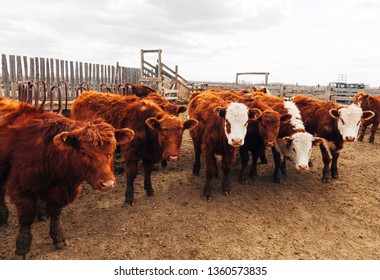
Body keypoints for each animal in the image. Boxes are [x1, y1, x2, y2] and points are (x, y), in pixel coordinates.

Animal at [0, 98, 134, 258]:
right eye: (83, 152)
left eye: (113, 150)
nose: (107, 184)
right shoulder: (21, 189)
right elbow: (26, 219)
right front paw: (22, 248)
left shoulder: (59, 192)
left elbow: (55, 214)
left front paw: (58, 238)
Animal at [70, 91, 199, 205]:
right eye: (162, 132)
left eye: (181, 132)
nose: (173, 157)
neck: (145, 127)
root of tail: (85, 94)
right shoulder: (131, 153)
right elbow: (131, 174)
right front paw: (129, 196)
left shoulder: (148, 154)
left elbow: (147, 171)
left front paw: (149, 189)